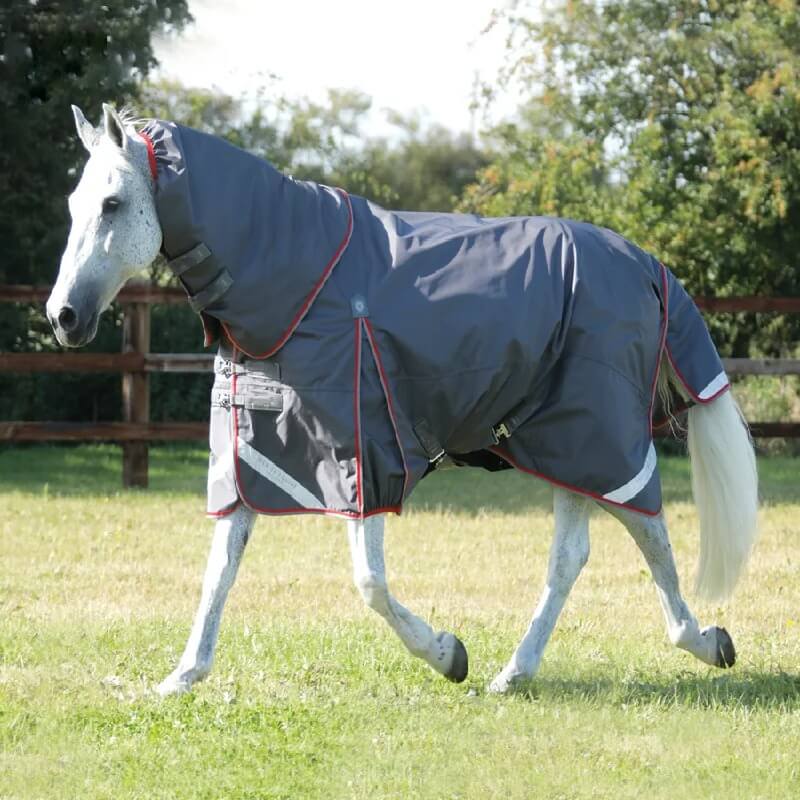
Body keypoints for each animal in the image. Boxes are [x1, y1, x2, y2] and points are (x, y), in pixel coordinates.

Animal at [47, 104, 758, 696]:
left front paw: (447, 653)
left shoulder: (363, 455)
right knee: (571, 557)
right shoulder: (257, 455)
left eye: (113, 203)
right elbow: (220, 567)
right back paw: (516, 673)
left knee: (650, 534)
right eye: (75, 203)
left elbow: (370, 583)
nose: (63, 317)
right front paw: (182, 676)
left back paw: (704, 641)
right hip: (561, 444)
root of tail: (641, 262)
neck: (302, 281)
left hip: (599, 438)